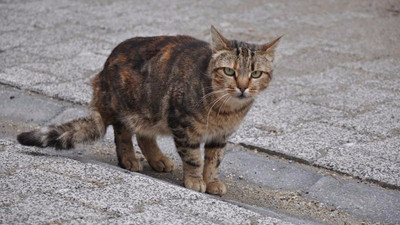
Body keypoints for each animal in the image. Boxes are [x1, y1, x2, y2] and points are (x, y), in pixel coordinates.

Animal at [17, 25, 282, 195]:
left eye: (256, 74)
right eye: (229, 71)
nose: (243, 87)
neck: (225, 111)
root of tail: (103, 71)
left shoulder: (220, 136)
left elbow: (214, 160)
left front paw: (212, 181)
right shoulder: (182, 125)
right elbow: (194, 158)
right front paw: (195, 180)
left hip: (150, 112)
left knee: (145, 136)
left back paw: (158, 159)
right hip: (127, 106)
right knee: (123, 133)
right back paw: (129, 159)